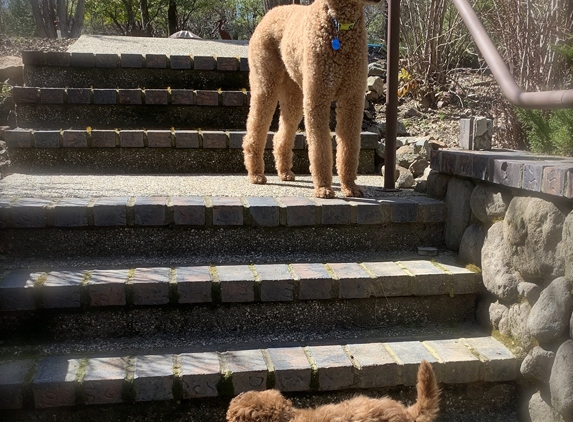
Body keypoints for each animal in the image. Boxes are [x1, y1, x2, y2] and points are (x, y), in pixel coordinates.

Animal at [241, 0, 380, 198]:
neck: (339, 25)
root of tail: (271, 13)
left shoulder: (352, 99)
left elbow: (350, 146)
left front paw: (350, 187)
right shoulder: (318, 98)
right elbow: (319, 147)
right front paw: (323, 188)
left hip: (294, 94)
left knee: (282, 133)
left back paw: (285, 172)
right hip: (265, 83)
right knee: (255, 127)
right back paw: (256, 174)